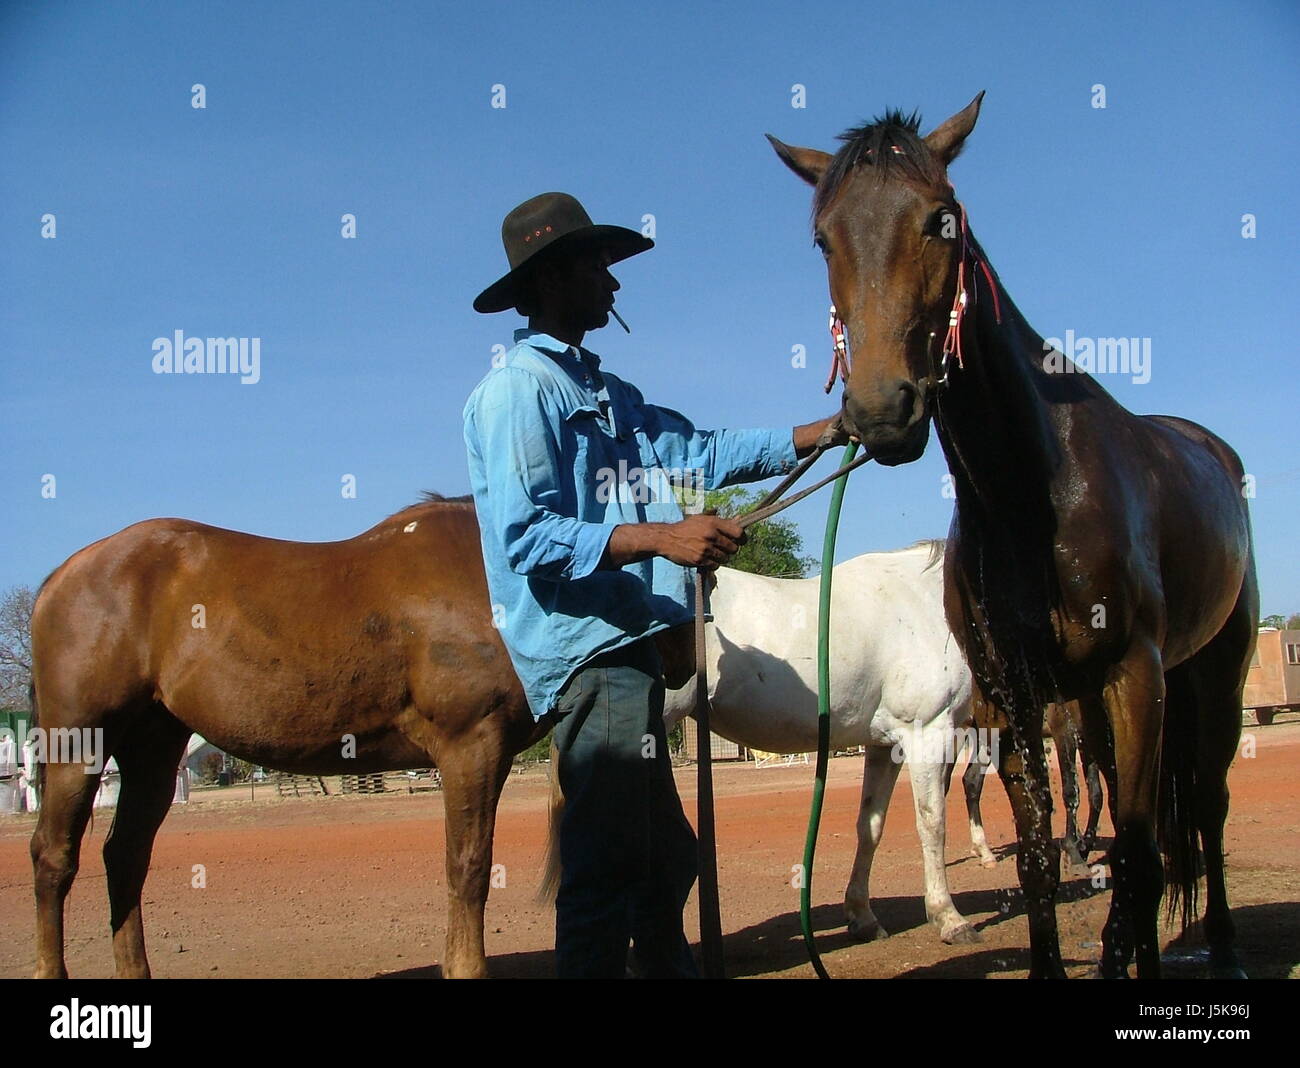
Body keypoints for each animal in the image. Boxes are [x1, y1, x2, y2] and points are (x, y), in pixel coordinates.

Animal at [28, 493, 542, 979]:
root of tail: (64, 573)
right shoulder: (471, 743)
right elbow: (469, 866)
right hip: (79, 743)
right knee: (53, 856)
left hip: (152, 751)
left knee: (125, 857)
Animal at [769, 94, 1257, 978]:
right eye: (824, 238)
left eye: (942, 219)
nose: (881, 410)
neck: (1031, 494)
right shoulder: (1019, 693)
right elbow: (1037, 856)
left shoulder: (1136, 674)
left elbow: (1140, 853)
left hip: (1210, 674)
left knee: (1204, 806)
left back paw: (1224, 946)